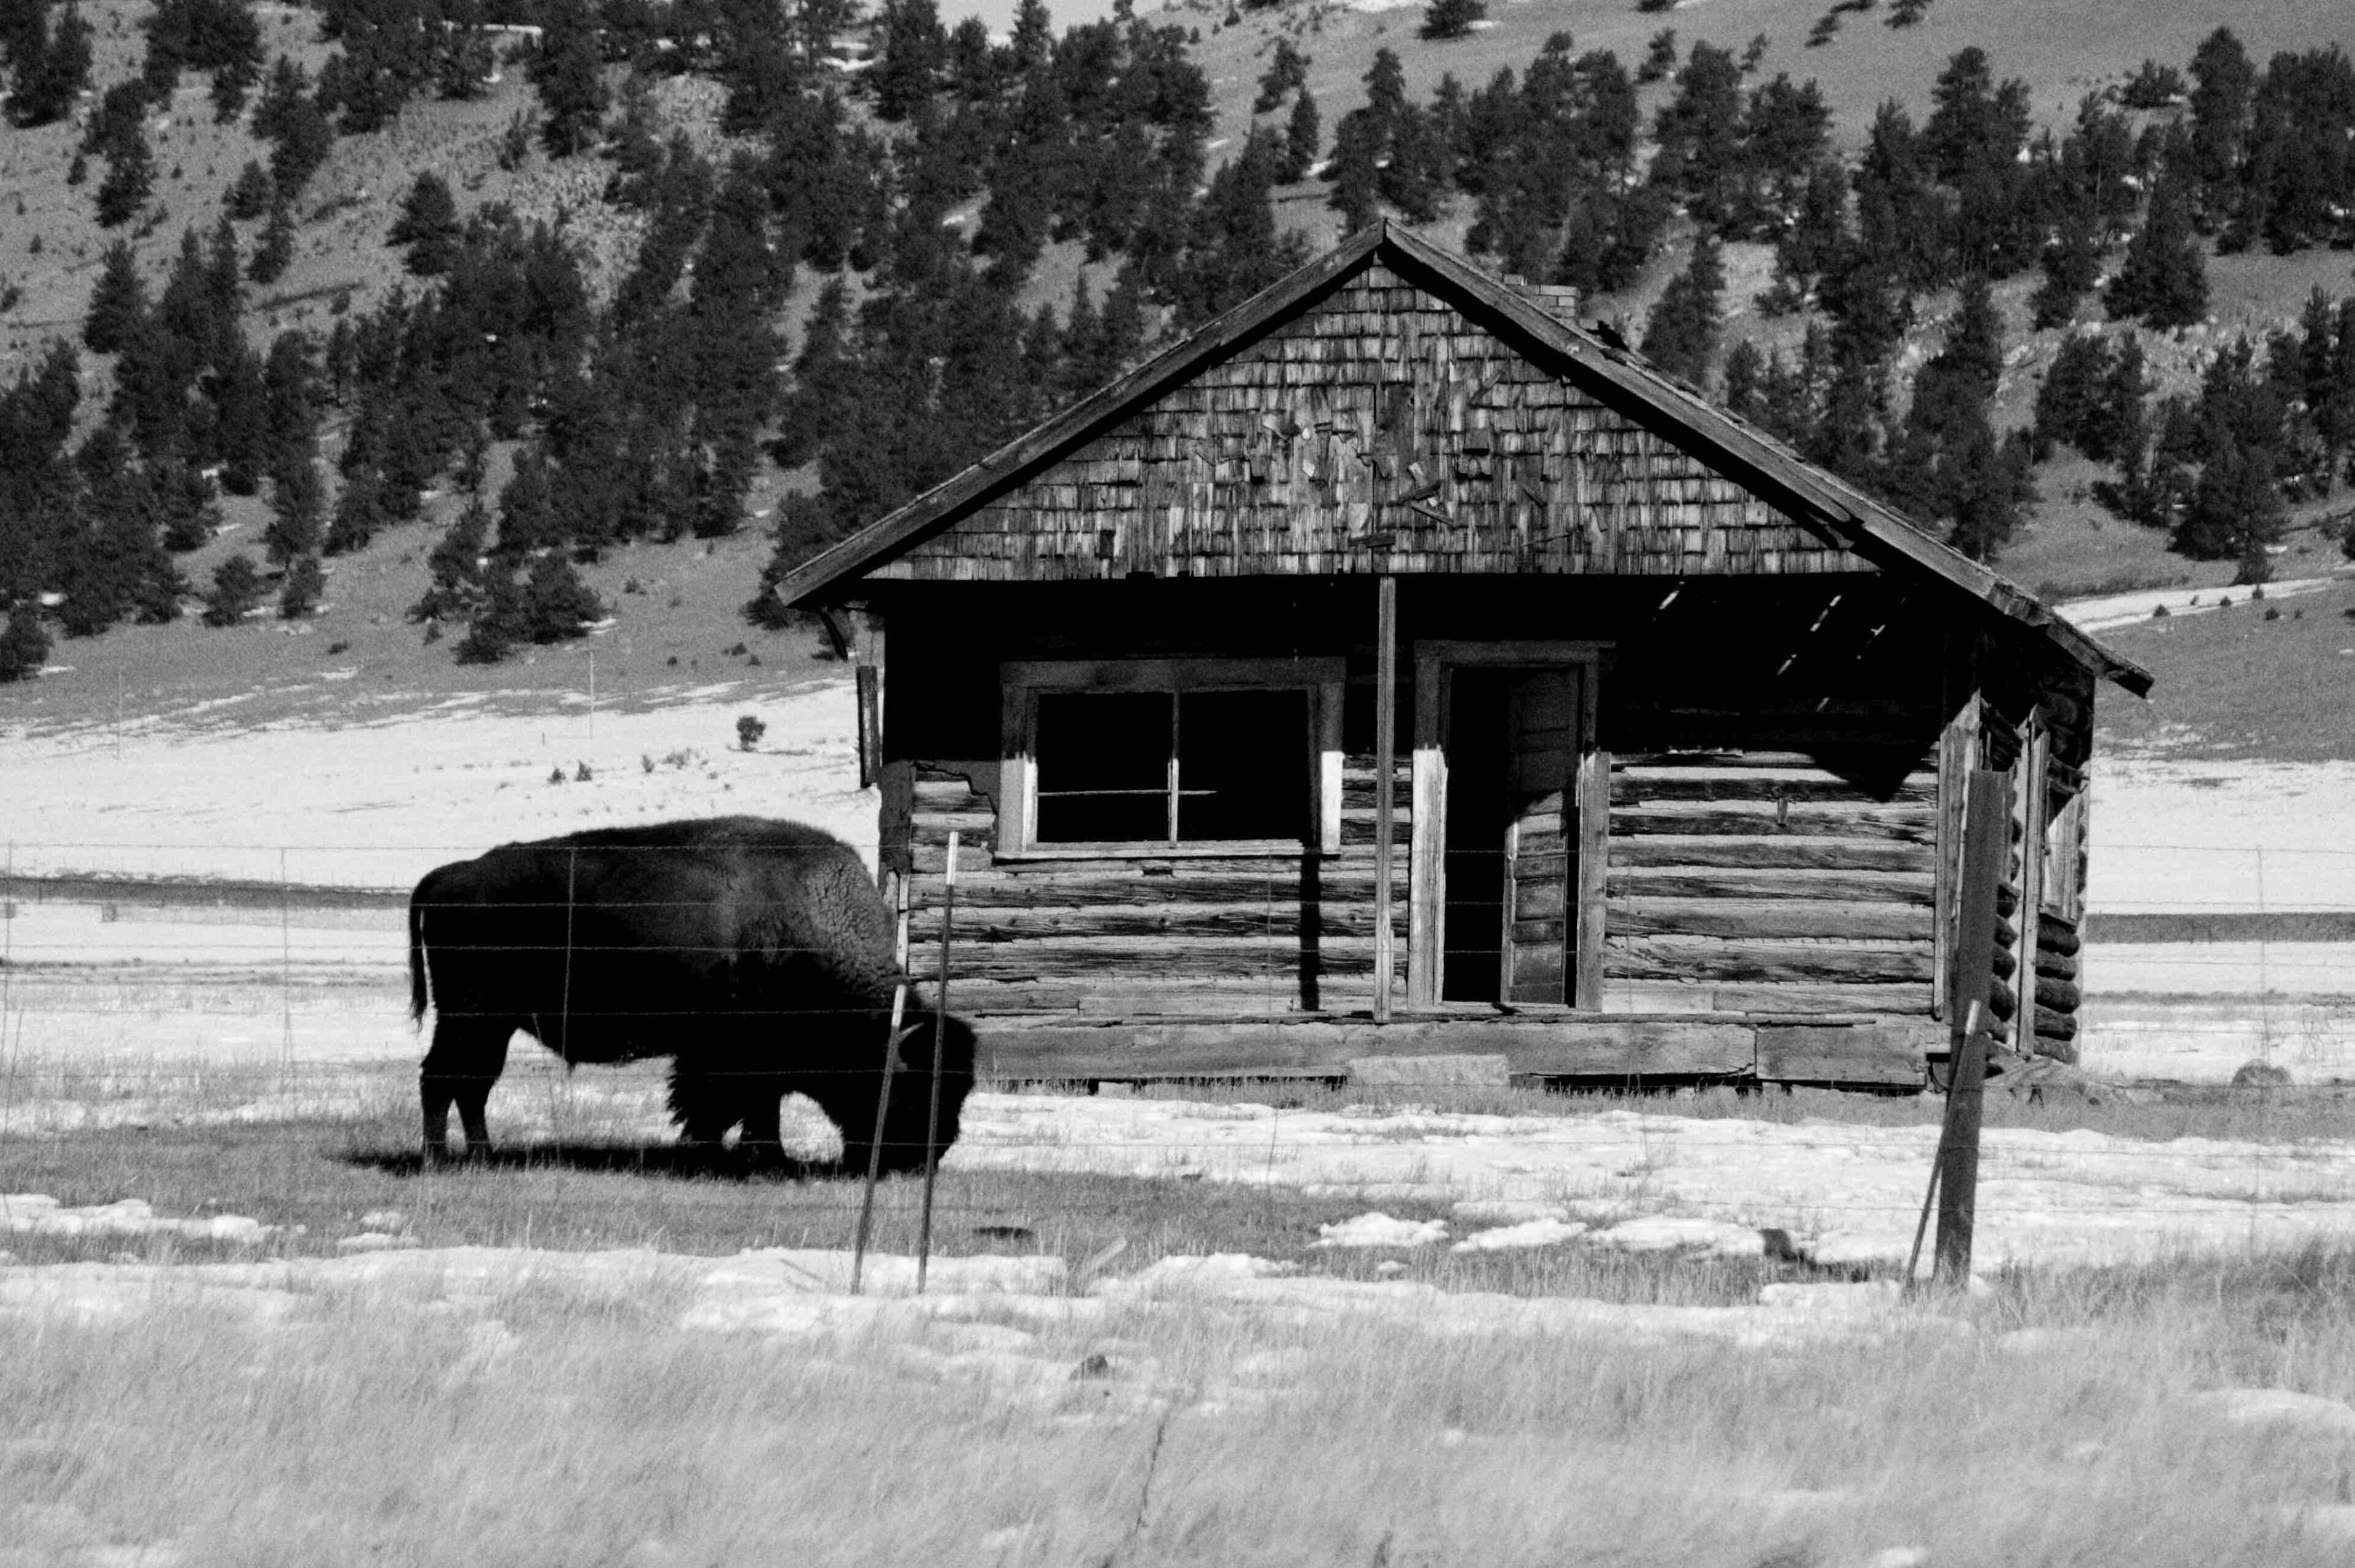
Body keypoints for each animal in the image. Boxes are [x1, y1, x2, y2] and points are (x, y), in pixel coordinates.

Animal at [407, 817, 974, 1171]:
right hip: (472, 1017)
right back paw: (441, 1159)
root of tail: (449, 876)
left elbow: (756, 1108)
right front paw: (742, 1157)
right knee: (442, 1079)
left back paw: (482, 1155)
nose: (923, 1158)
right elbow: (724, 1107)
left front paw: (764, 1157)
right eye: (914, 1090)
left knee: (470, 1085)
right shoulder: (727, 1057)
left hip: (489, 1024)